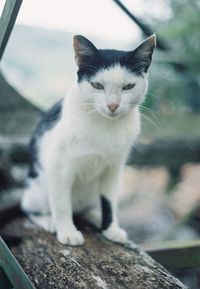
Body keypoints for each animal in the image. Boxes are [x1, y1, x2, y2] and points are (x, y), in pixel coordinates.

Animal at [20, 33, 156, 245]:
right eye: (97, 85)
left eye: (128, 86)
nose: (113, 105)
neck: (104, 125)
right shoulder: (58, 168)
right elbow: (61, 203)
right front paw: (67, 231)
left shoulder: (114, 169)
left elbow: (109, 201)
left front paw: (111, 229)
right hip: (37, 188)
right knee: (29, 209)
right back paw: (48, 220)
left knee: (84, 207)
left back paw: (93, 216)